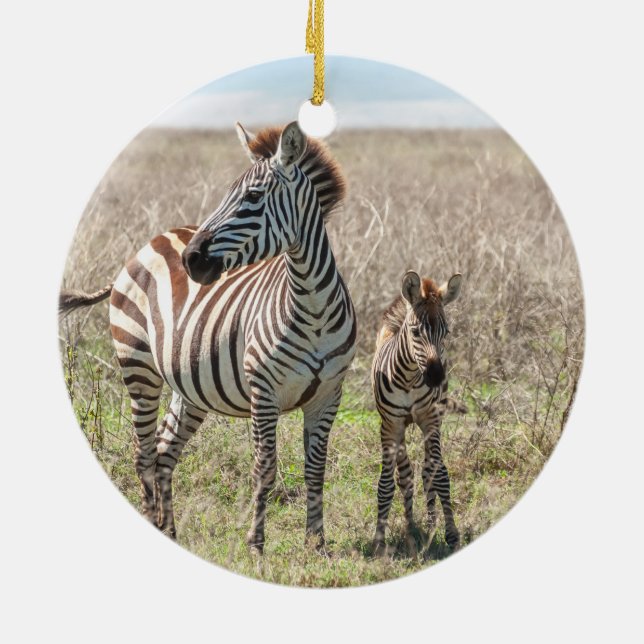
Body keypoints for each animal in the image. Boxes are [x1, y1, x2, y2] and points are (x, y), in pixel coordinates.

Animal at [60, 121, 357, 553]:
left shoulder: (328, 395)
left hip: (190, 387)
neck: (313, 307)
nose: (191, 260)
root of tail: (151, 241)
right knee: (143, 453)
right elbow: (264, 468)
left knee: (164, 451)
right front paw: (256, 544)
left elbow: (315, 470)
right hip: (138, 367)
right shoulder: (263, 393)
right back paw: (153, 524)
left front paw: (316, 545)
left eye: (253, 197)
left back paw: (169, 530)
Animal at [371, 270, 462, 556]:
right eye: (415, 332)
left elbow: (440, 475)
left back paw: (431, 526)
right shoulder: (390, 425)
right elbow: (387, 483)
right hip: (398, 428)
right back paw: (411, 528)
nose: (435, 377)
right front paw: (379, 542)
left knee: (427, 470)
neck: (410, 378)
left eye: (446, 332)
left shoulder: (430, 419)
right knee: (406, 476)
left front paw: (450, 534)